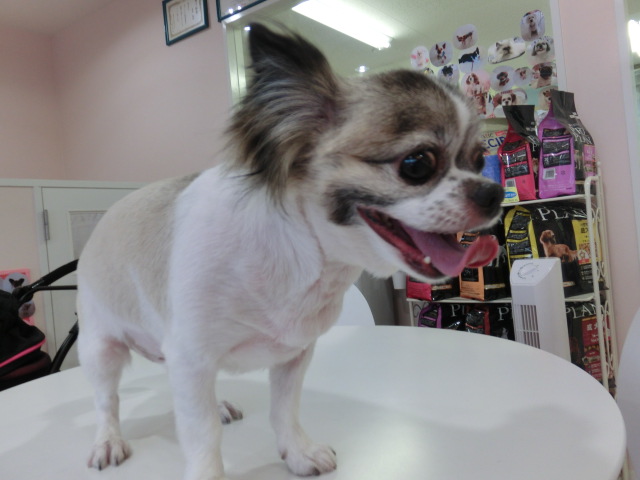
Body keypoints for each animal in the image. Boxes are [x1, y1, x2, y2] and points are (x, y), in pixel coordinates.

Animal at [77, 24, 503, 480]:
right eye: (417, 164)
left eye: (480, 160)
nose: (494, 192)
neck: (304, 257)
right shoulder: (191, 358)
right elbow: (202, 433)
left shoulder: (291, 355)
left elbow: (284, 409)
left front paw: (297, 453)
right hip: (101, 348)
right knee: (107, 401)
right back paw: (107, 440)